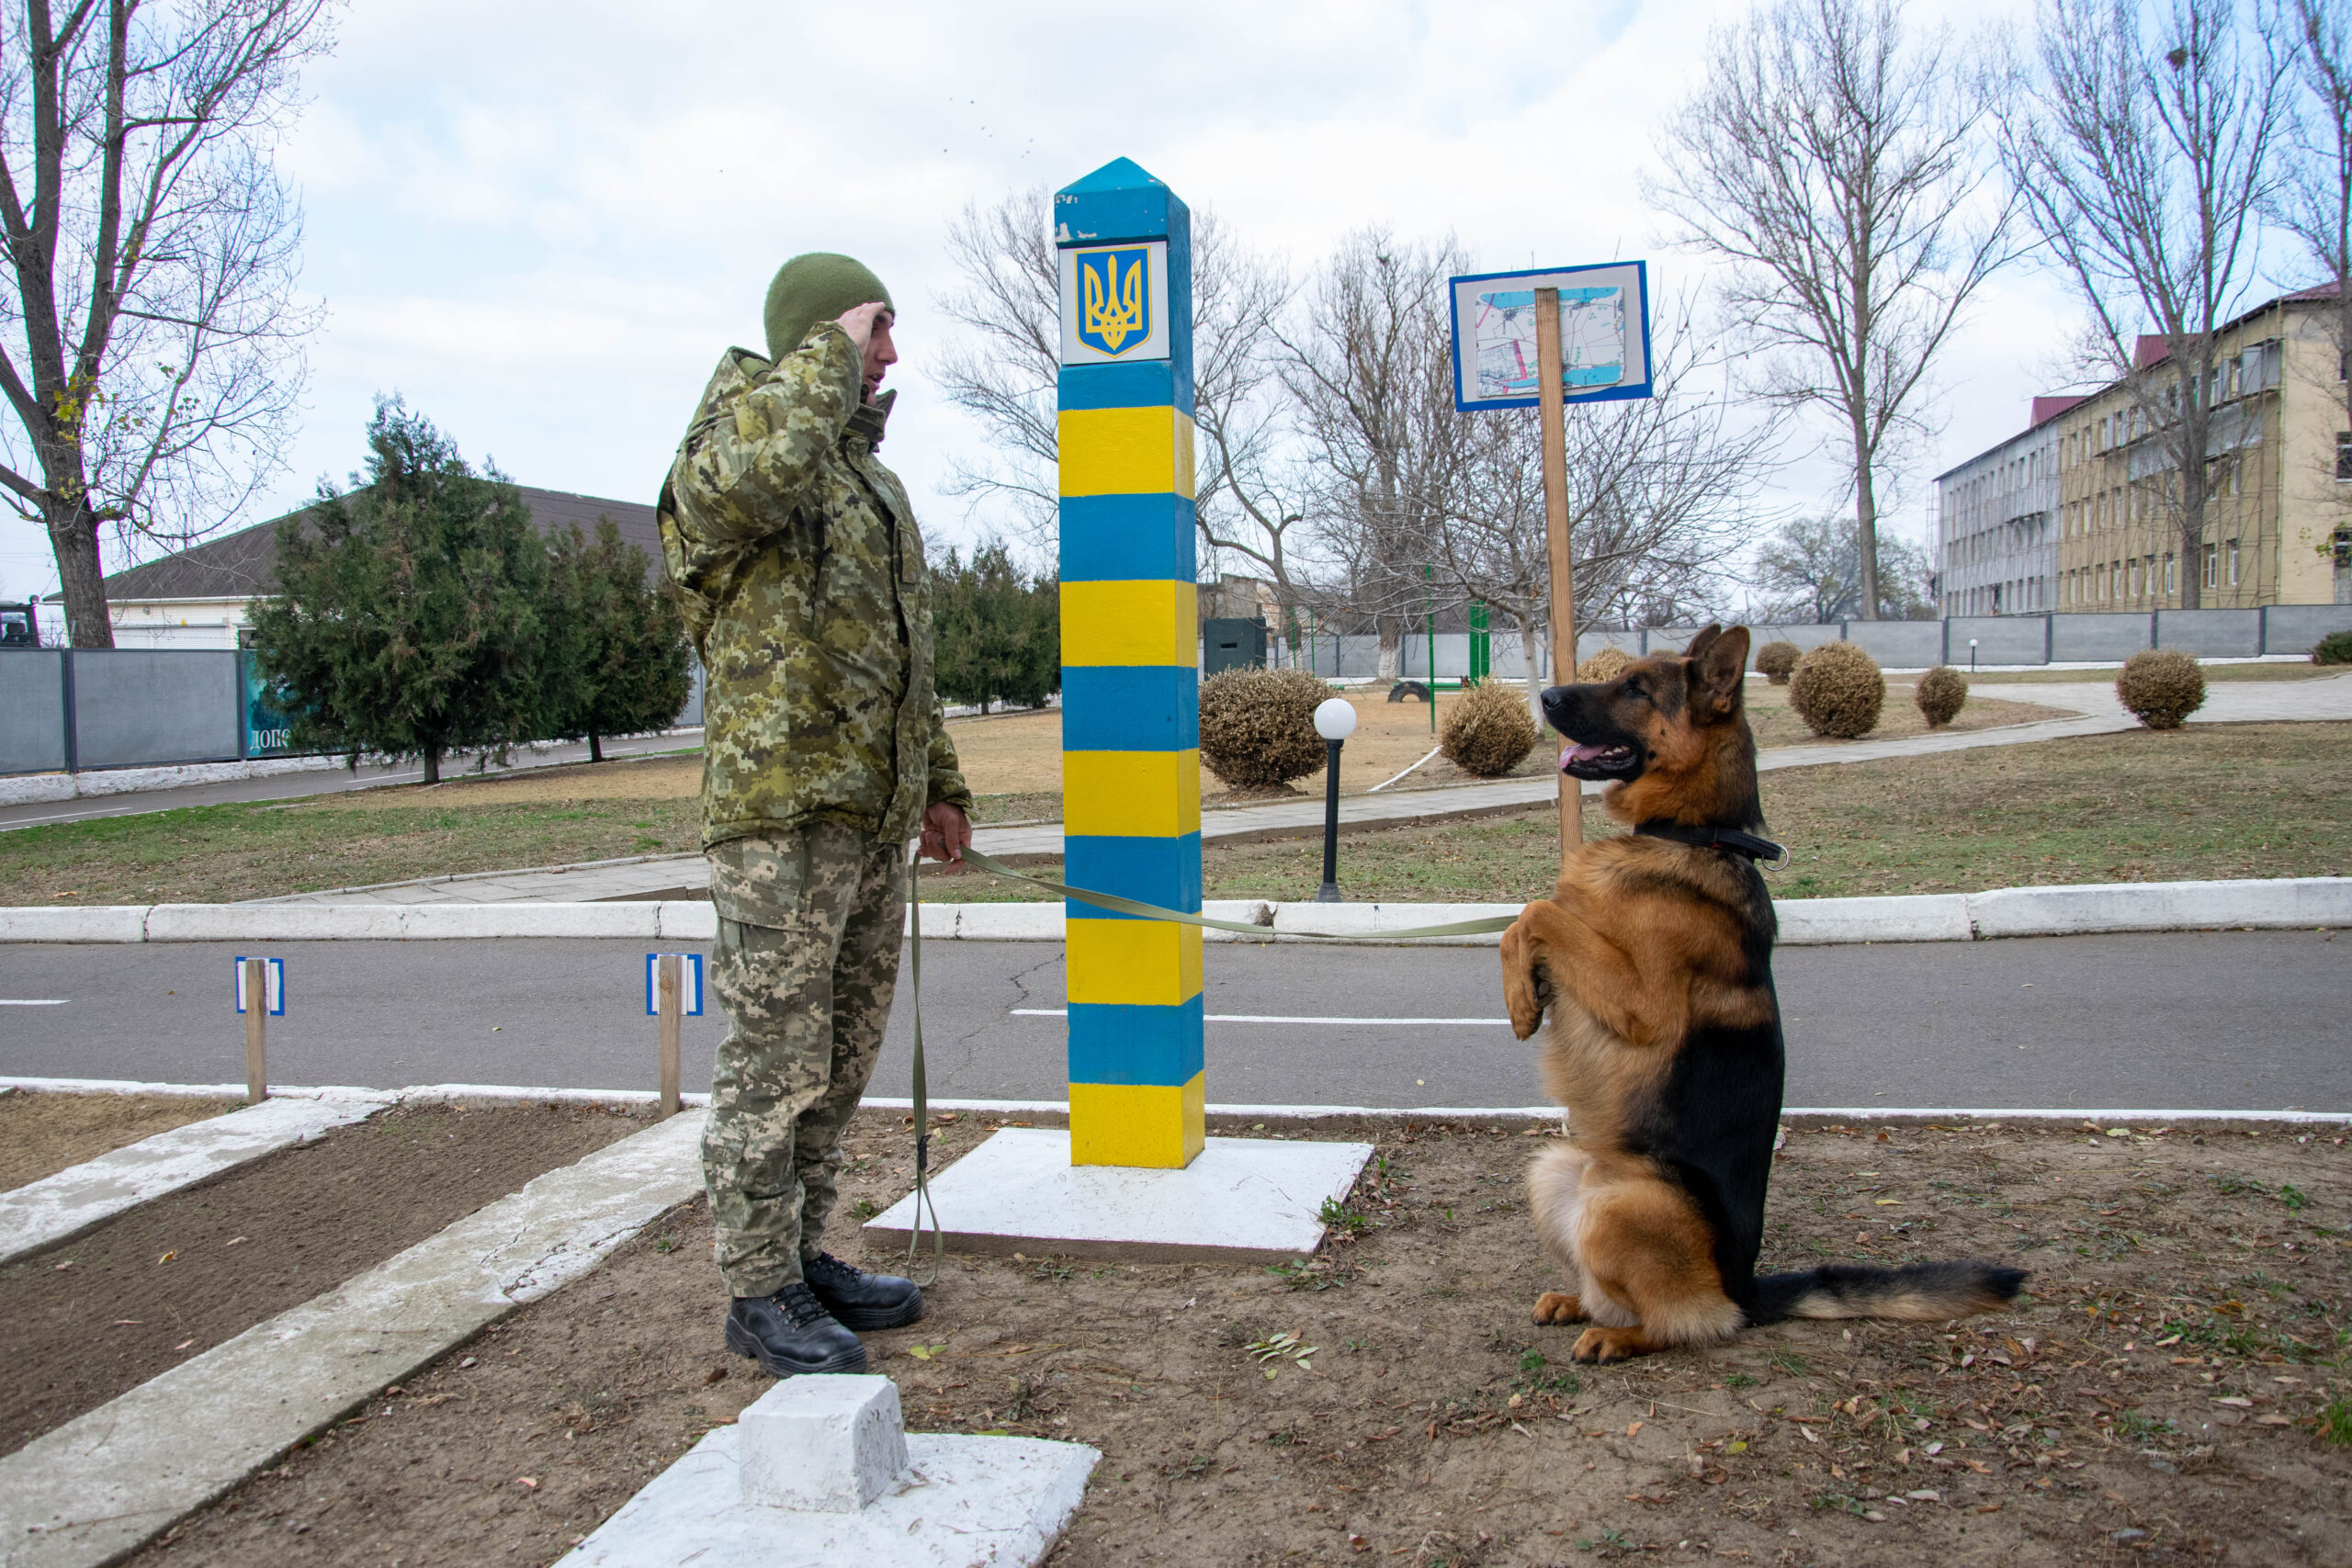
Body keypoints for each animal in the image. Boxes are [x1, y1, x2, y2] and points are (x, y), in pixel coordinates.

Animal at [1505, 625, 2022, 1363]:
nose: (1545, 697)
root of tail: (1745, 1287)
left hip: (1624, 1200)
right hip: (1556, 1168)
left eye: (1636, 688)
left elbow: (1539, 910)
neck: (1695, 834)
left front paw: (1522, 997)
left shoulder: (1641, 1005)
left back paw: (1618, 1335)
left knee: (1684, 1322)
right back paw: (1577, 1302)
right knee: (1620, 1292)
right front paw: (1523, 994)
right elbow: (1525, 919)